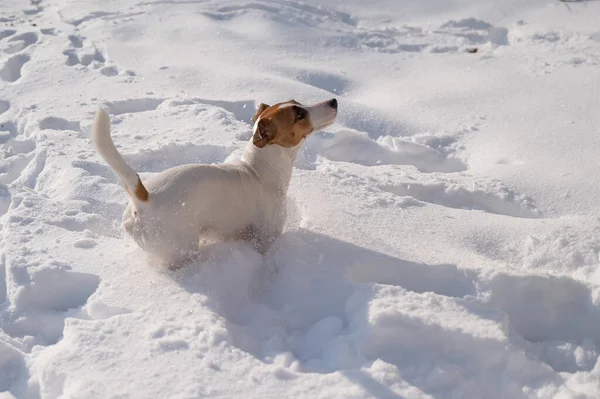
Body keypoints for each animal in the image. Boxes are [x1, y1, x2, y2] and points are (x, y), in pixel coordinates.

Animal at [92, 97, 340, 268]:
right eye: (299, 115)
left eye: (298, 103)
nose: (334, 101)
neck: (258, 171)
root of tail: (144, 200)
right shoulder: (265, 238)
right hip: (180, 248)